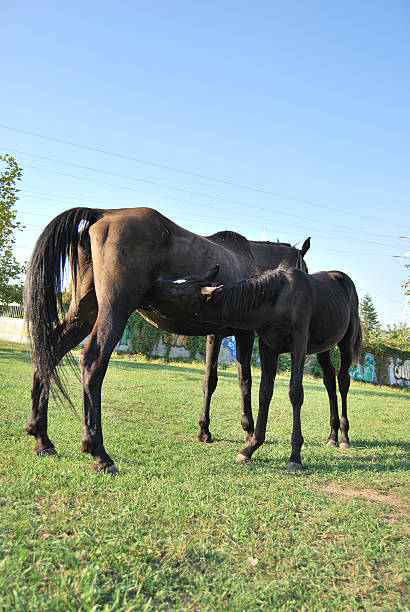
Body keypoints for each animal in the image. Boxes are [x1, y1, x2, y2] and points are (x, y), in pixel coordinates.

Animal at [147, 266, 362, 470]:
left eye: (177, 291)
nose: (152, 287)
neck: (278, 298)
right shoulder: (268, 347)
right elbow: (264, 393)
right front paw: (251, 447)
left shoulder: (298, 345)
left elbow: (295, 393)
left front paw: (295, 456)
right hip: (323, 348)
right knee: (329, 381)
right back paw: (332, 436)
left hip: (346, 342)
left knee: (343, 382)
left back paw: (344, 437)